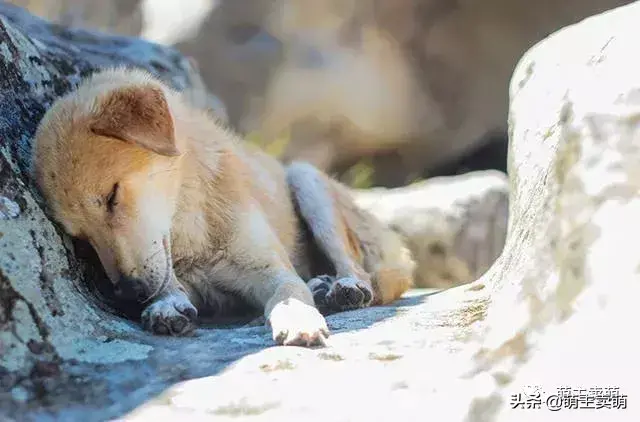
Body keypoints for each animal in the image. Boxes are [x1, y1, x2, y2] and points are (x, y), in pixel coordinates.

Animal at [31, 67, 416, 346]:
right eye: (82, 238)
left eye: (112, 197)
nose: (128, 292)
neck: (193, 230)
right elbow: (170, 285)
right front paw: (165, 305)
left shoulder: (273, 271)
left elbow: (289, 293)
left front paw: (298, 319)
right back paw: (323, 286)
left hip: (306, 179)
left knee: (359, 267)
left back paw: (343, 288)